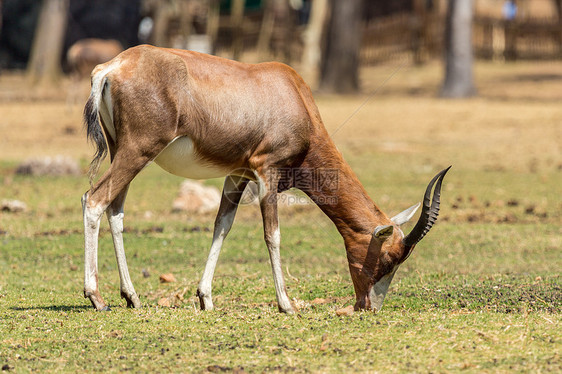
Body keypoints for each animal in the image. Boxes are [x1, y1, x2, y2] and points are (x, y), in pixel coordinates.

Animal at [83, 43, 448, 312]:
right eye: (390, 258)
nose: (367, 307)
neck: (291, 92)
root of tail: (111, 68)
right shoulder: (267, 171)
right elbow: (273, 234)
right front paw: (286, 304)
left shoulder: (238, 173)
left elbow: (222, 226)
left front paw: (206, 299)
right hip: (139, 150)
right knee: (94, 199)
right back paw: (97, 297)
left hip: (122, 151)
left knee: (115, 209)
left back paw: (131, 296)